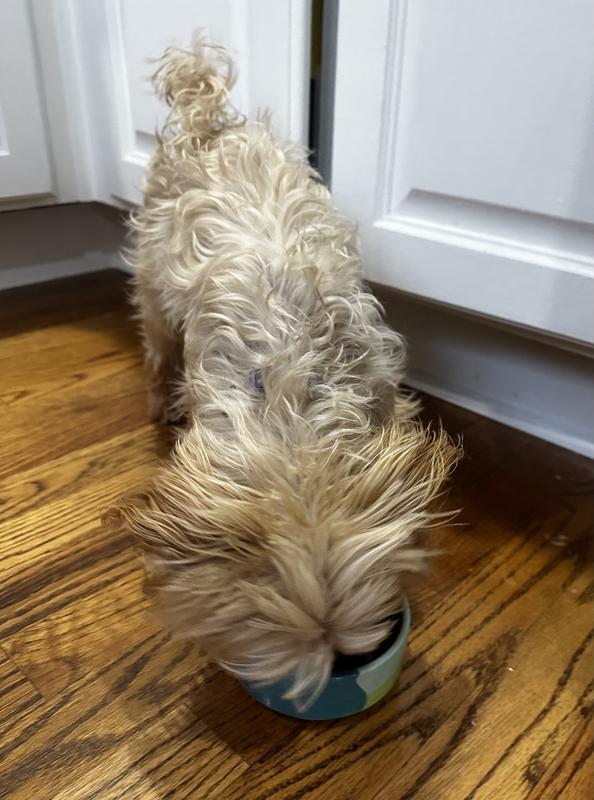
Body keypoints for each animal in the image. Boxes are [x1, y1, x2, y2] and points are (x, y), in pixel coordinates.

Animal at [112, 40, 459, 704]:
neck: (295, 407)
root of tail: (205, 121)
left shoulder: (384, 392)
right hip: (153, 280)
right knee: (156, 345)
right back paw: (155, 403)